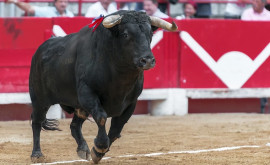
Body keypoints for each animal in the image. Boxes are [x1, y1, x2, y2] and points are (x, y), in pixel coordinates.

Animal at [29, 10, 177, 164]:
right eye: (125, 34)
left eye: (150, 34)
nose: (147, 60)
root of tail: (40, 50)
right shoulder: (88, 94)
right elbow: (101, 117)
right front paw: (100, 146)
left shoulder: (131, 102)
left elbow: (116, 129)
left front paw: (97, 153)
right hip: (39, 99)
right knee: (37, 121)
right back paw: (37, 154)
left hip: (79, 107)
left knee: (75, 125)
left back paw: (83, 149)